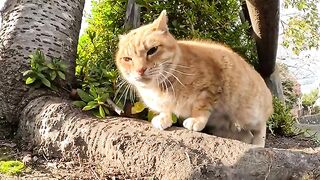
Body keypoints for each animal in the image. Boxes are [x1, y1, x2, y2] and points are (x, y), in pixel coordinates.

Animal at [115, 9, 272, 146]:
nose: (140, 70)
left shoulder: (210, 88)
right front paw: (164, 118)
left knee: (261, 127)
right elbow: (166, 110)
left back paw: (258, 144)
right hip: (225, 128)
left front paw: (196, 120)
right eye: (127, 59)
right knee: (246, 136)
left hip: (249, 116)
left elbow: (201, 107)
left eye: (152, 50)